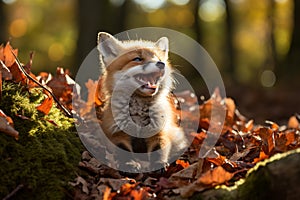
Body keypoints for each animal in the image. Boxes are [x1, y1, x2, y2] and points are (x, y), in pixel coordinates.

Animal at [95, 32, 188, 173]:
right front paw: (129, 163)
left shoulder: (159, 131)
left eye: (158, 58)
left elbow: (158, 149)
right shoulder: (116, 133)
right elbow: (123, 150)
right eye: (138, 59)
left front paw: (159, 163)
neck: (138, 114)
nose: (161, 64)